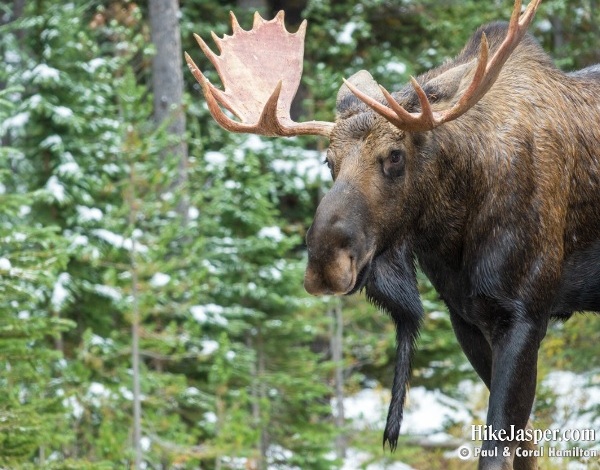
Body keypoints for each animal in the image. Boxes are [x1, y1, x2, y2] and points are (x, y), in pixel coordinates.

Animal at [185, 1, 596, 468]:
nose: (325, 262)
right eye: (329, 161)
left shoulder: (524, 313)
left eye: (396, 156)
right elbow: (523, 447)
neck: (453, 228)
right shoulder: (466, 319)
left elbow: (498, 446)